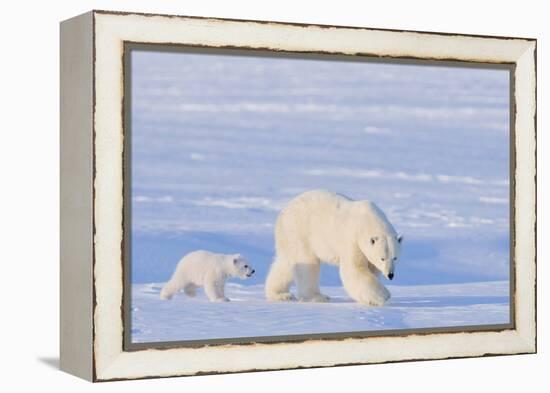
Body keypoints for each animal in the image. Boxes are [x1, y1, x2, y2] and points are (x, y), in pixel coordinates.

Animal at [268, 188, 406, 304]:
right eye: (382, 258)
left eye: (395, 258)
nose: (390, 274)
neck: (367, 221)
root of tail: (282, 213)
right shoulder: (352, 239)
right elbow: (355, 269)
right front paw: (384, 295)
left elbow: (371, 269)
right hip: (300, 232)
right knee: (307, 264)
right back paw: (318, 297)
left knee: (286, 264)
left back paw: (279, 294)